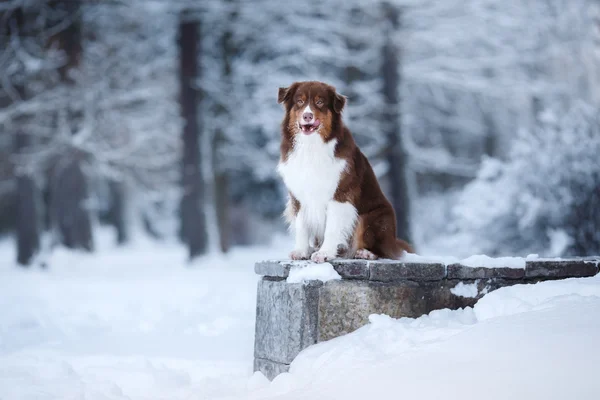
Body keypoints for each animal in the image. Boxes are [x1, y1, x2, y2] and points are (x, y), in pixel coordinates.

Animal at [278, 81, 412, 262]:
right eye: (300, 101)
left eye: (320, 102)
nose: (307, 116)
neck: (311, 146)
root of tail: (394, 241)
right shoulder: (297, 195)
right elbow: (301, 225)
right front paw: (301, 251)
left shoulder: (340, 194)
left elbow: (332, 227)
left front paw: (325, 253)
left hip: (375, 216)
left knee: (383, 250)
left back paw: (365, 252)